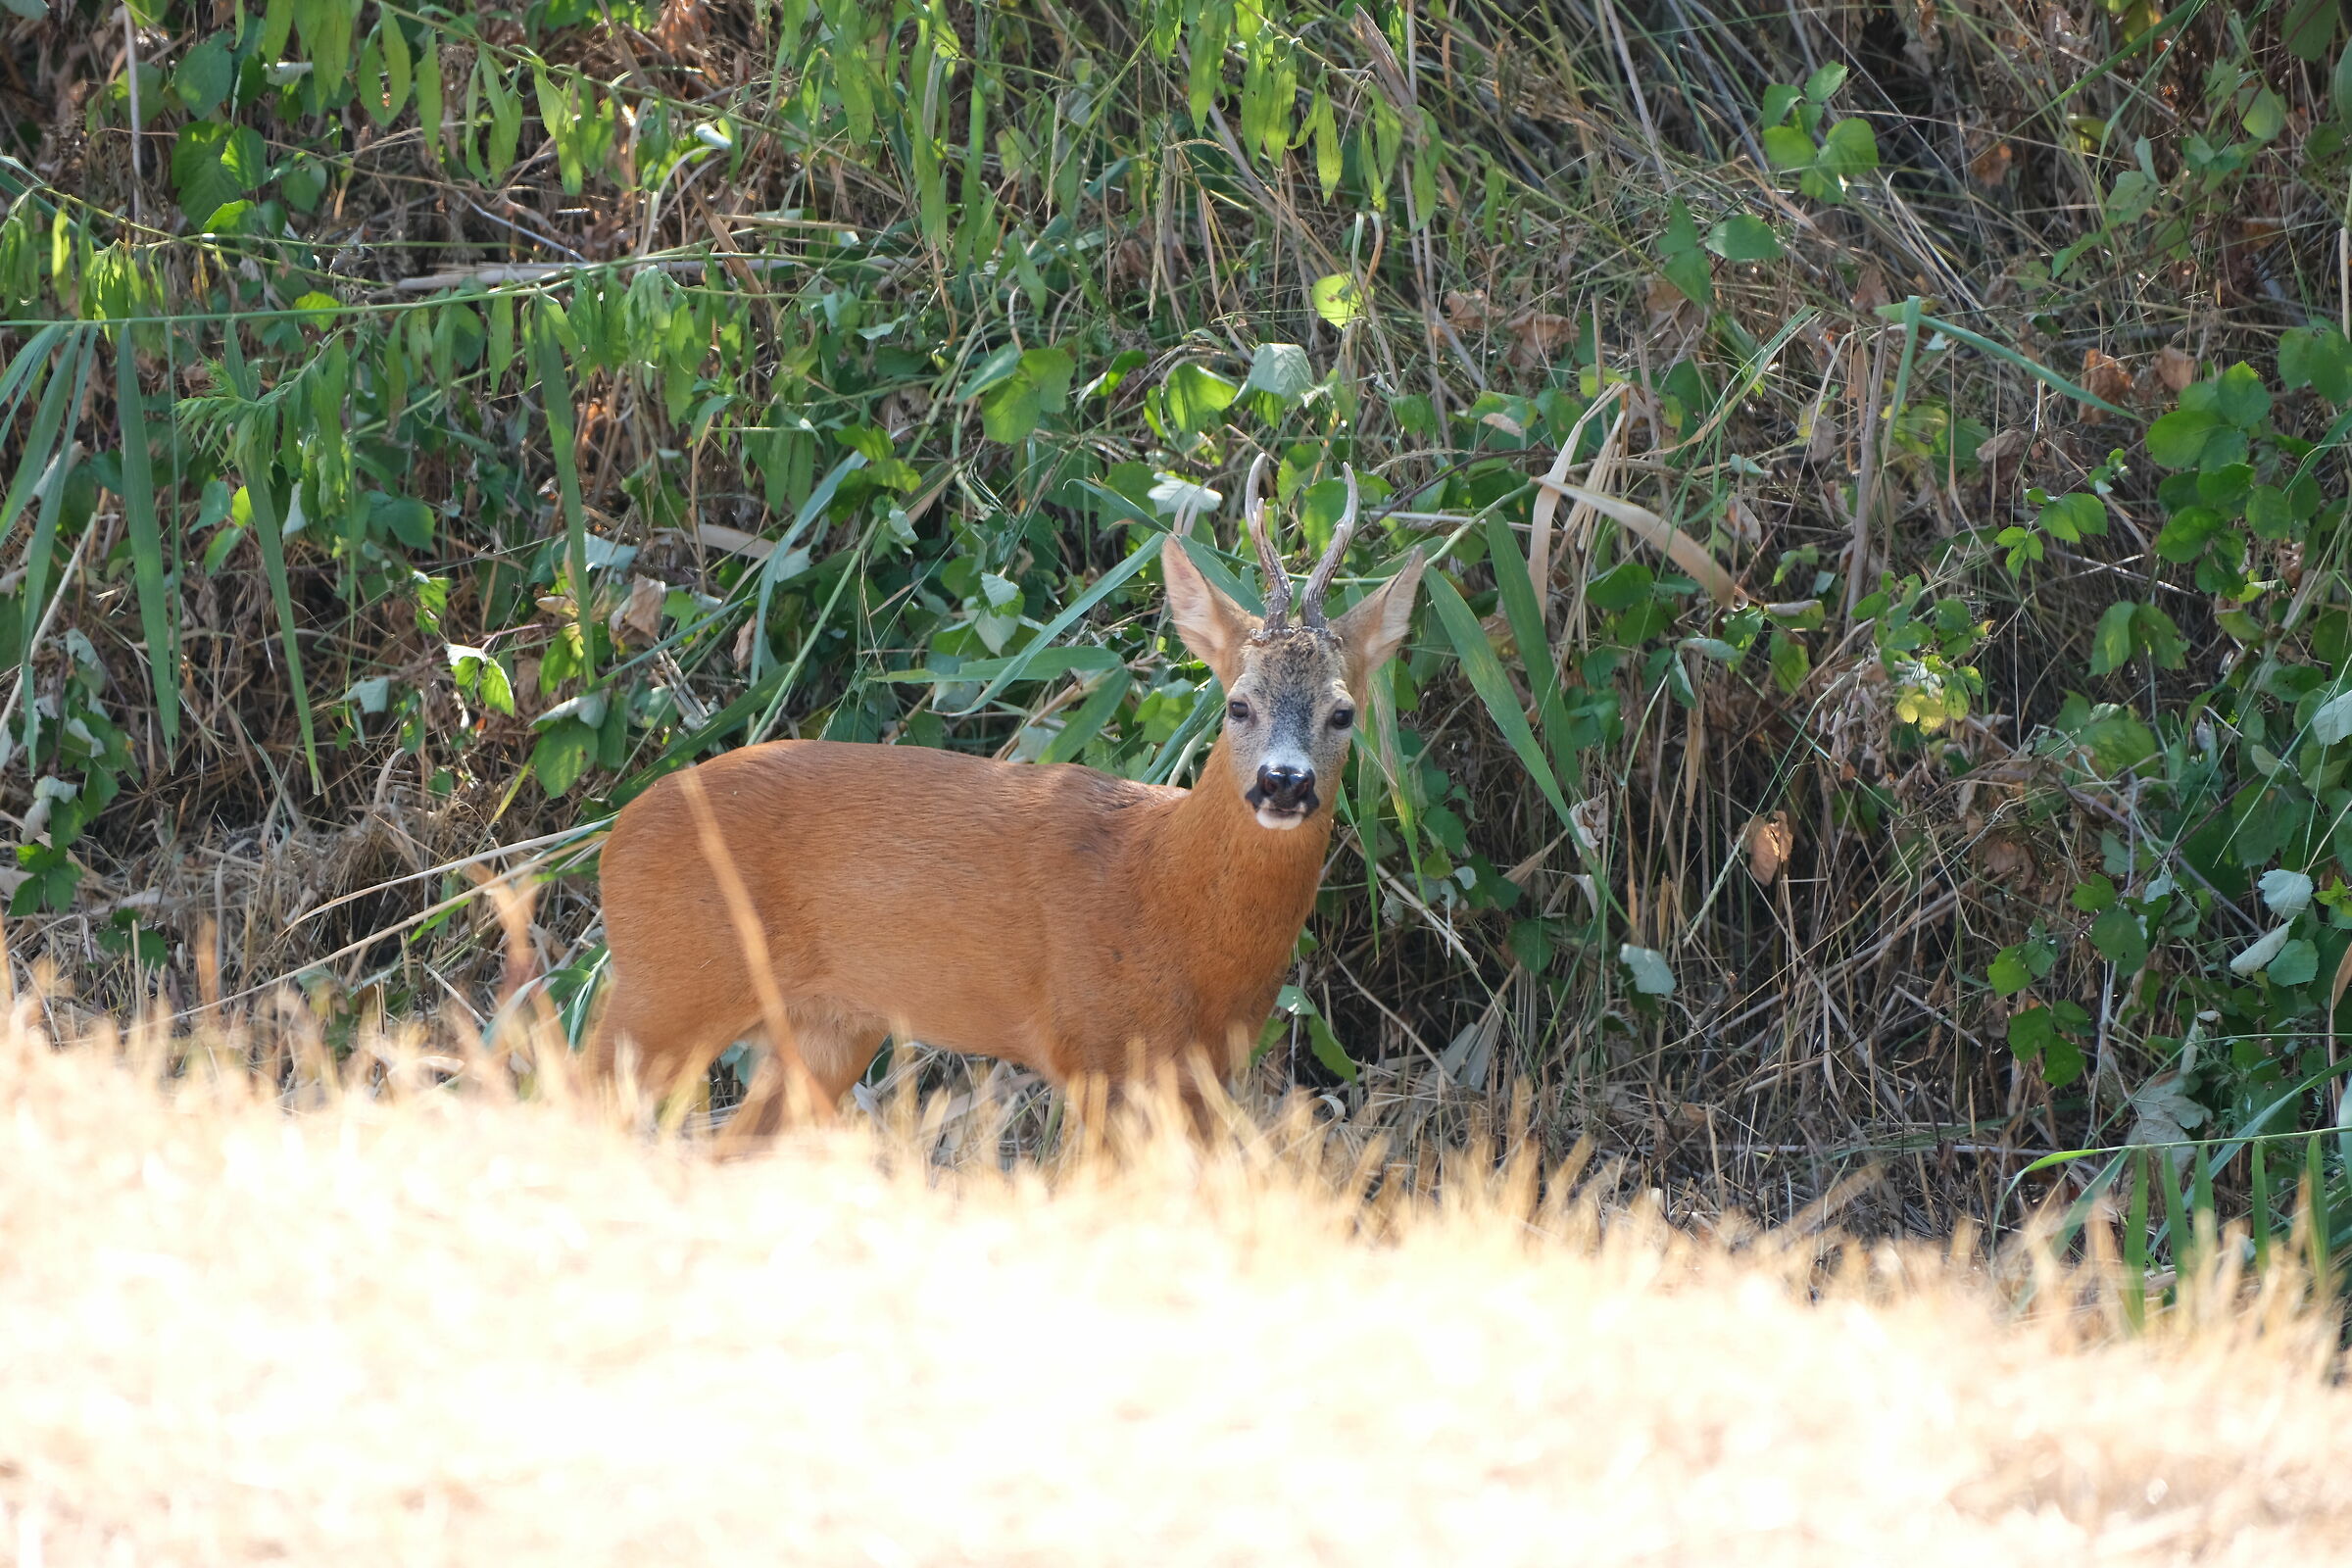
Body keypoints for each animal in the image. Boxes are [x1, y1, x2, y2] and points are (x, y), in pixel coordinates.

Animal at [586, 456, 1425, 1130]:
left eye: (1342, 712)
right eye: (1238, 705)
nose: (1284, 781)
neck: (1160, 892)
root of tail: (616, 835)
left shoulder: (1203, 1074)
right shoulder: (1092, 1050)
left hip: (824, 1029)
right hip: (666, 987)